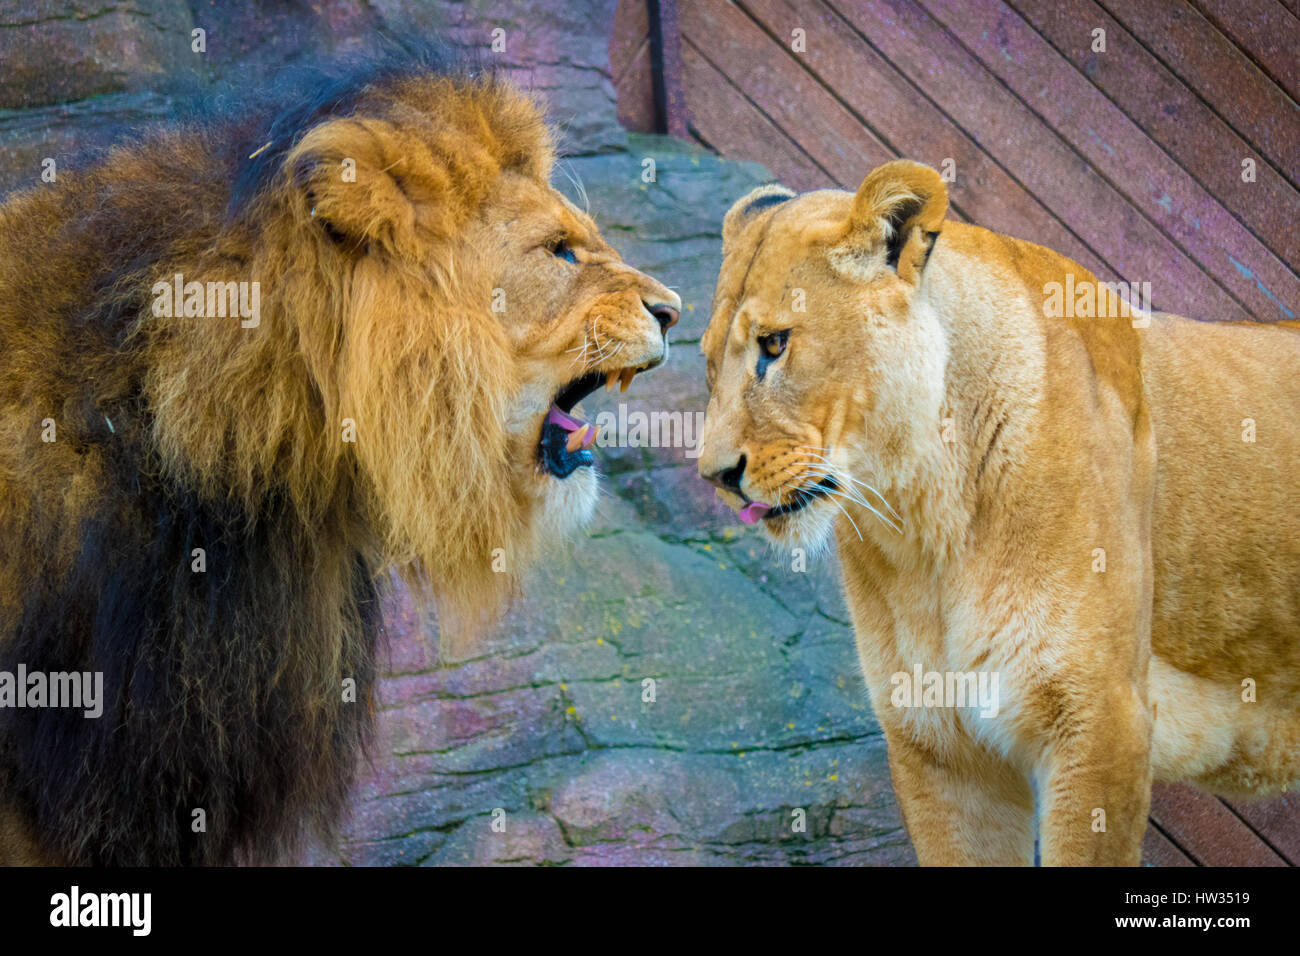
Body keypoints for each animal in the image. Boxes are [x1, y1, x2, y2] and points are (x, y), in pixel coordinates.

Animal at [698, 160, 1300, 865]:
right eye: (709, 362)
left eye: (774, 344)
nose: (715, 475)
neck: (924, 522)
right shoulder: (939, 744)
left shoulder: (1103, 725)